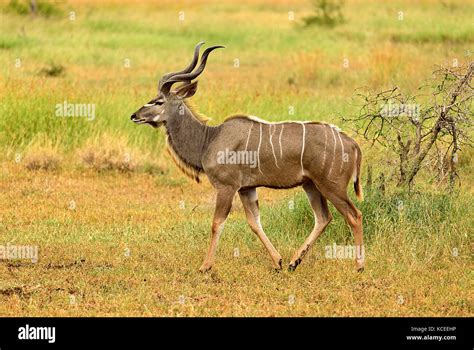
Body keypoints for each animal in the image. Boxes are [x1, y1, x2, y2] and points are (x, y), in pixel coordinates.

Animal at [131, 43, 364, 274]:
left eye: (158, 101)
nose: (134, 116)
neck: (209, 138)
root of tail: (352, 144)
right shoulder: (246, 189)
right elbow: (254, 222)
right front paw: (278, 261)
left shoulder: (227, 187)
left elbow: (217, 223)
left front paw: (205, 266)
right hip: (311, 185)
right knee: (323, 218)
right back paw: (293, 262)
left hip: (331, 186)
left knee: (354, 215)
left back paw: (359, 266)